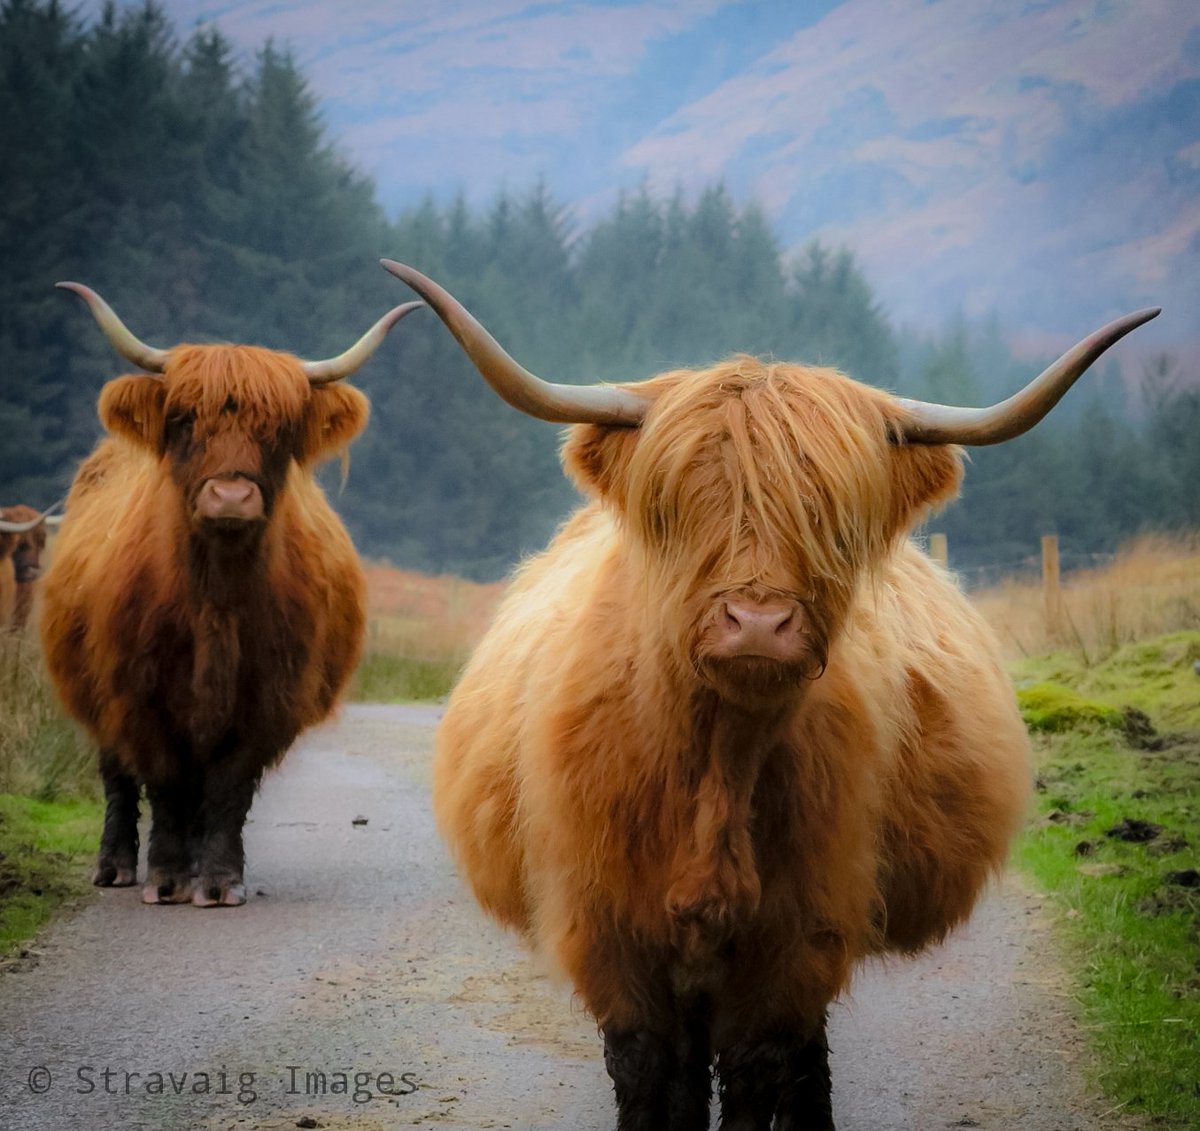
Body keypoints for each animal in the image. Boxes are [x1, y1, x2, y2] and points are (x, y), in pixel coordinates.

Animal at [40, 283, 421, 908]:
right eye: (183, 419)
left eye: (280, 429)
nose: (231, 496)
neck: (214, 599)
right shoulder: (139, 692)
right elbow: (164, 783)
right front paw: (166, 879)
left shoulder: (267, 696)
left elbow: (227, 788)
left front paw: (218, 880)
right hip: (95, 688)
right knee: (117, 775)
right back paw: (115, 866)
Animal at [383, 259, 1158, 1130]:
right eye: (679, 501)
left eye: (830, 512)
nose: (758, 622)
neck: (719, 755)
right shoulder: (609, 931)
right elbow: (648, 1071)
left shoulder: (795, 935)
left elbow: (758, 1071)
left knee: (801, 1057)